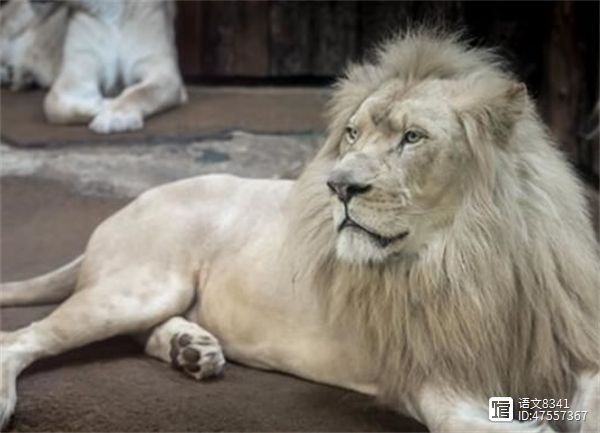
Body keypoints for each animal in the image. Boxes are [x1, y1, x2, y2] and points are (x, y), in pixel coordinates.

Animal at [0, 0, 187, 134]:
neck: (110, 8)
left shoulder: (161, 69)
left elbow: (141, 92)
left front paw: (115, 115)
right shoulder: (78, 70)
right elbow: (53, 104)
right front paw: (100, 105)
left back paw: (21, 77)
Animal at [1, 30, 598, 432]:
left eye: (412, 137)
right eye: (352, 134)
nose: (338, 186)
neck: (466, 255)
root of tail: (130, 204)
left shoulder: (570, 346)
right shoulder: (429, 378)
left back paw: (191, 349)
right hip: (139, 286)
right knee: (21, 338)